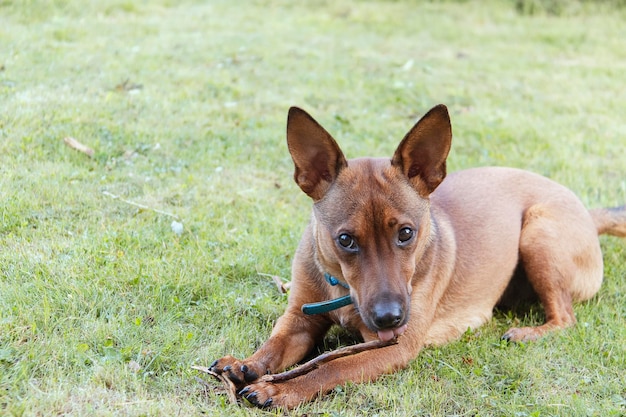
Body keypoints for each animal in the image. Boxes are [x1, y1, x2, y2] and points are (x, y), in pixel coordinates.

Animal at [210, 105, 624, 410]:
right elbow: (274, 344)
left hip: (538, 235)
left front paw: (281, 389)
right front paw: (247, 365)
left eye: (406, 233)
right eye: (345, 240)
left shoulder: (393, 347)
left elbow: (334, 367)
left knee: (566, 317)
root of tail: (588, 214)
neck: (341, 292)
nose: (389, 318)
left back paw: (528, 333)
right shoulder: (299, 320)